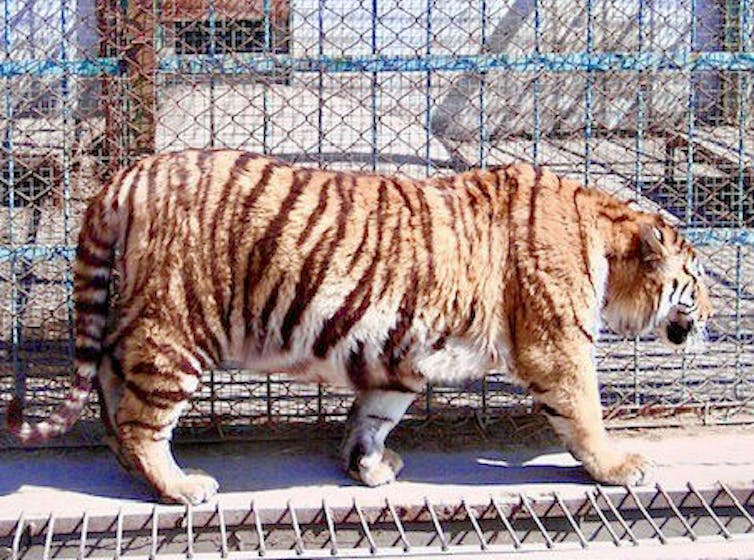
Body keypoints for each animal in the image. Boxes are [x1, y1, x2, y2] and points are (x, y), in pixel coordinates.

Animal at [6, 149, 712, 505]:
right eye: (698, 278)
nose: (711, 314)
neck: (606, 237)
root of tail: (127, 175)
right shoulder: (559, 347)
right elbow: (586, 415)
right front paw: (620, 467)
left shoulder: (406, 354)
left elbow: (375, 413)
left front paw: (366, 465)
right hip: (176, 328)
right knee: (138, 416)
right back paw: (180, 487)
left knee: (109, 391)